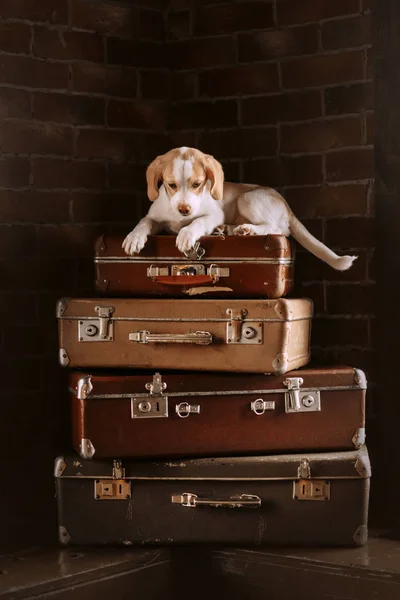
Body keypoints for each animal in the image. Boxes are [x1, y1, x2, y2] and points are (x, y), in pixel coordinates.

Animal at [122, 146, 356, 270]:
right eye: (171, 185)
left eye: (197, 184)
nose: (184, 210)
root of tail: (286, 205)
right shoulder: (155, 216)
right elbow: (144, 222)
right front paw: (133, 238)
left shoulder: (214, 214)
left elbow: (198, 221)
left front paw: (186, 234)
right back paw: (229, 229)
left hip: (248, 198)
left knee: (278, 229)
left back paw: (247, 230)